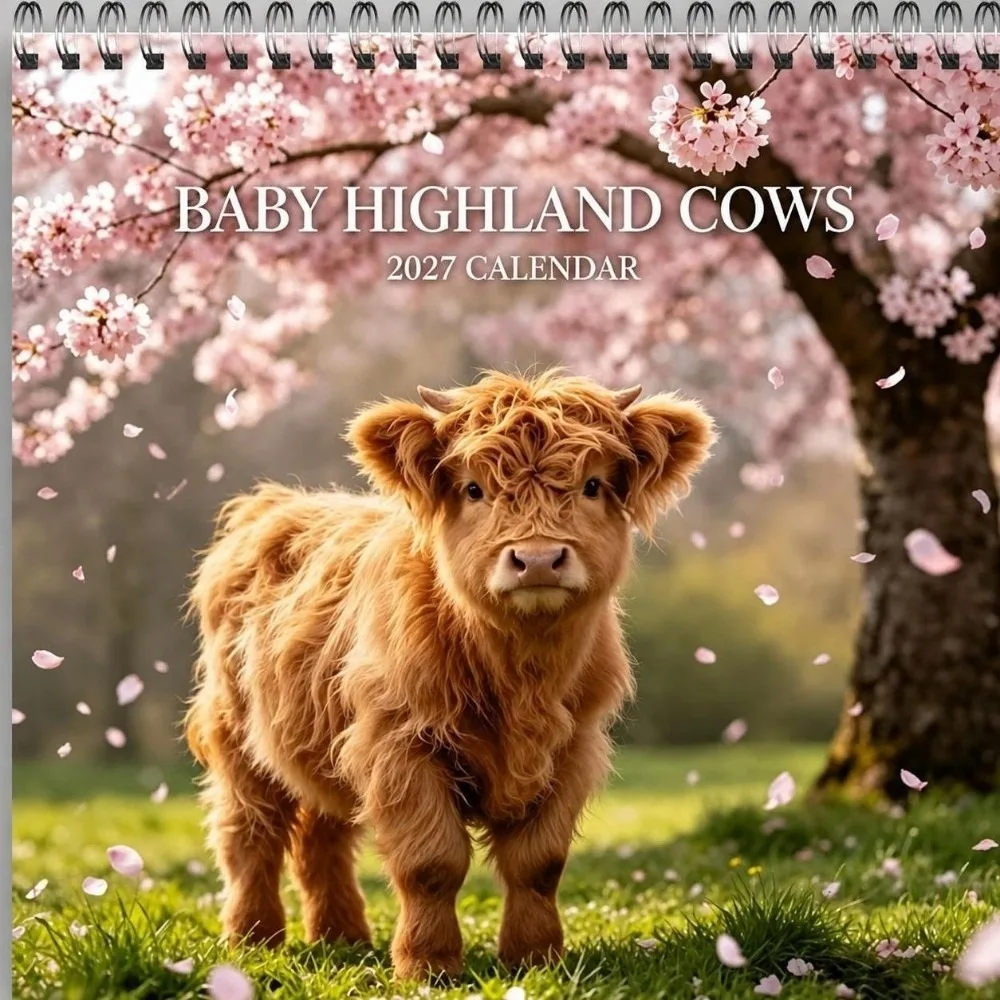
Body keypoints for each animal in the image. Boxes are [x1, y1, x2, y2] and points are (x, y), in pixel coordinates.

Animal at [185, 368, 714, 979]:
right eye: (474, 489)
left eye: (593, 485)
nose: (537, 559)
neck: (521, 679)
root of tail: (275, 501)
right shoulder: (400, 745)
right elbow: (431, 864)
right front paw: (428, 965)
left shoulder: (572, 749)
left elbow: (539, 864)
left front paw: (535, 958)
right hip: (236, 738)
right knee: (249, 834)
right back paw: (254, 940)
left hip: (322, 743)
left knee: (321, 838)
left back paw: (343, 938)